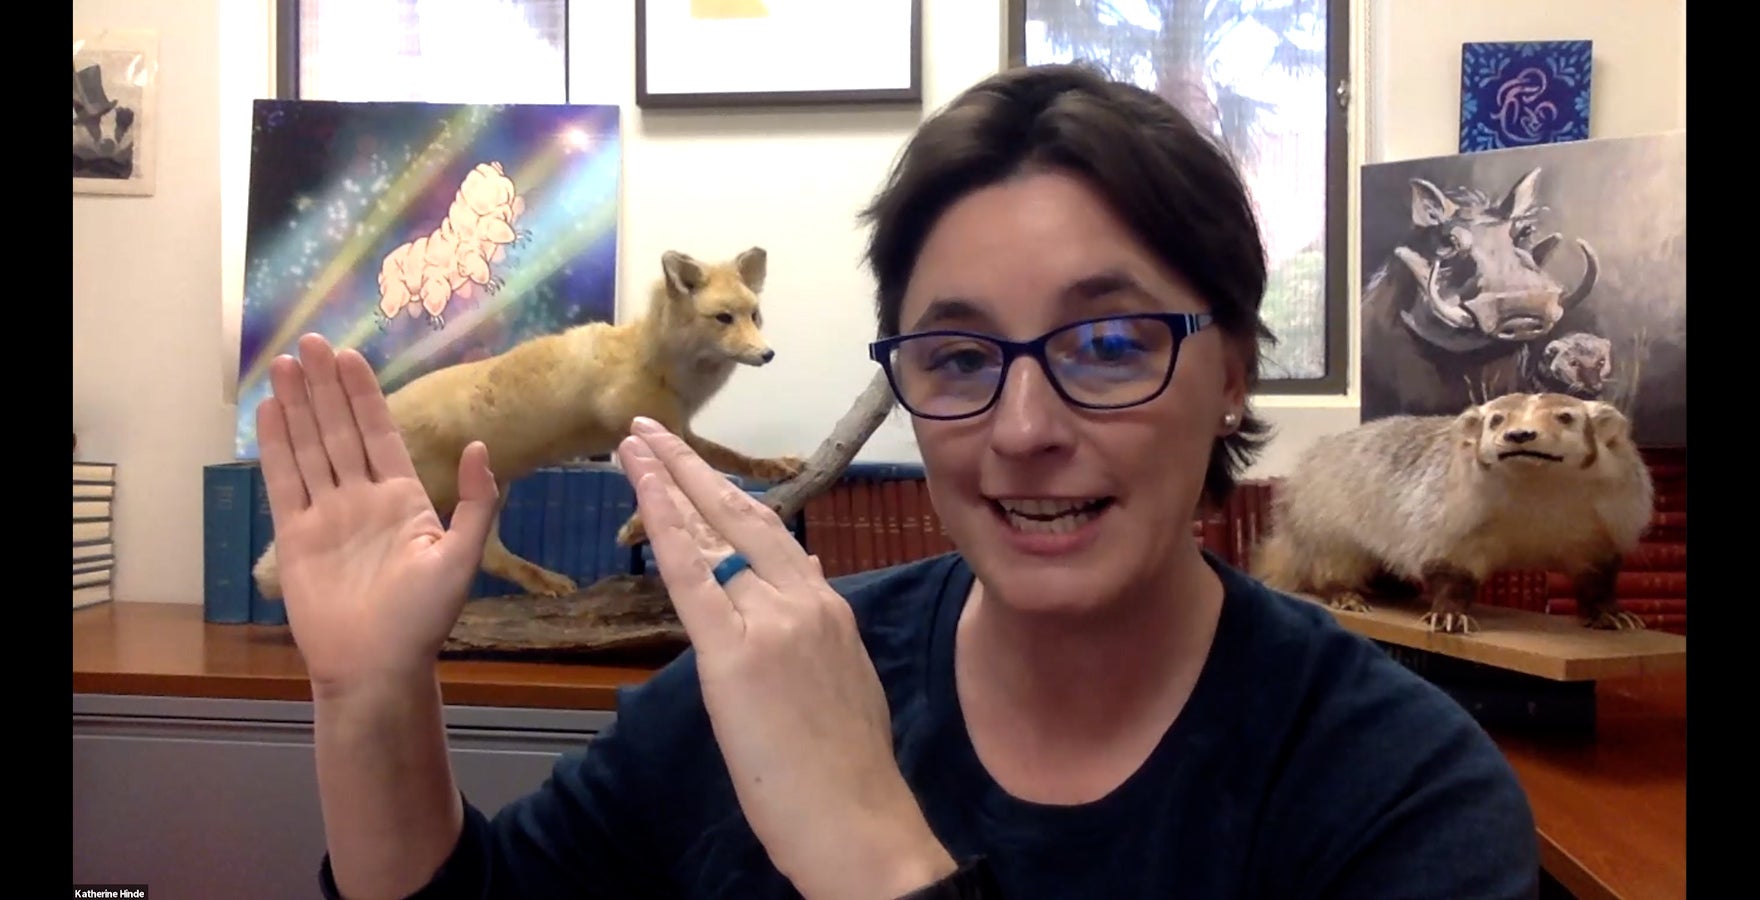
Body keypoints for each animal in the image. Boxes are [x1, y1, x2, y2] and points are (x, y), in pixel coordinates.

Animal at [253, 246, 806, 598]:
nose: (768, 354)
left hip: (492, 492)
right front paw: (635, 527)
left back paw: (544, 582)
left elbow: (728, 457)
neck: (658, 362)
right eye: (723, 319)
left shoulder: (677, 427)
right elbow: (686, 472)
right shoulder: (636, 425)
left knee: (489, 556)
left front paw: (776, 465)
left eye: (755, 316)